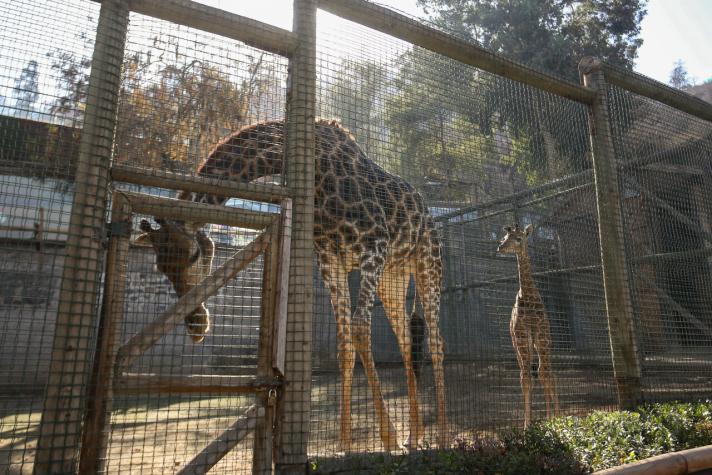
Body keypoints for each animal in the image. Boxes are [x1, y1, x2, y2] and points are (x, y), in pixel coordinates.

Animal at [136, 120, 448, 454]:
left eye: (194, 255)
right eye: (161, 268)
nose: (196, 326)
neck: (317, 172)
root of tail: (425, 208)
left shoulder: (373, 245)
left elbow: (360, 329)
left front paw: (388, 437)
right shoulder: (330, 259)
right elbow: (344, 346)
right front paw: (345, 444)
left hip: (427, 261)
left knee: (436, 341)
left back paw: (441, 436)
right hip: (394, 276)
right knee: (406, 341)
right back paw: (415, 436)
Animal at [498, 225, 560, 430]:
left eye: (519, 238)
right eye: (504, 237)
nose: (500, 247)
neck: (529, 295)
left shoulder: (542, 338)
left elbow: (545, 374)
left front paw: (558, 418)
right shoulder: (523, 339)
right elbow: (526, 379)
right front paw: (528, 425)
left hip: (540, 344)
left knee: (546, 373)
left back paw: (553, 415)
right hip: (519, 346)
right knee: (527, 374)